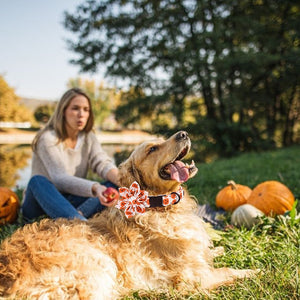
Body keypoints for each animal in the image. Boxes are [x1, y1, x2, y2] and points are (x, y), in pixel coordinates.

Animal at [0, 131, 255, 300]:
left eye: (162, 139)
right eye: (152, 149)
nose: (183, 133)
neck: (160, 205)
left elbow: (208, 251)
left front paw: (219, 249)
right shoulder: (192, 277)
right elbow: (227, 271)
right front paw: (254, 271)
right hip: (97, 266)